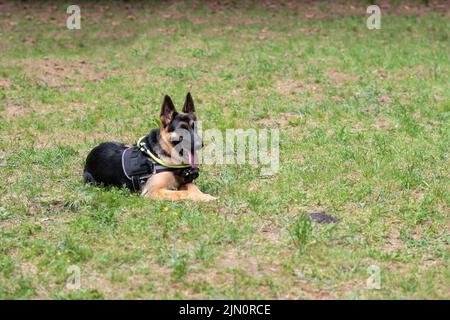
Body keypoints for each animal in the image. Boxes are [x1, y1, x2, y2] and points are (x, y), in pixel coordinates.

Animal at [85, 92, 220, 201]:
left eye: (195, 127)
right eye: (182, 129)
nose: (199, 145)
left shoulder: (184, 182)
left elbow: (193, 187)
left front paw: (204, 195)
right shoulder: (153, 191)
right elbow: (183, 193)